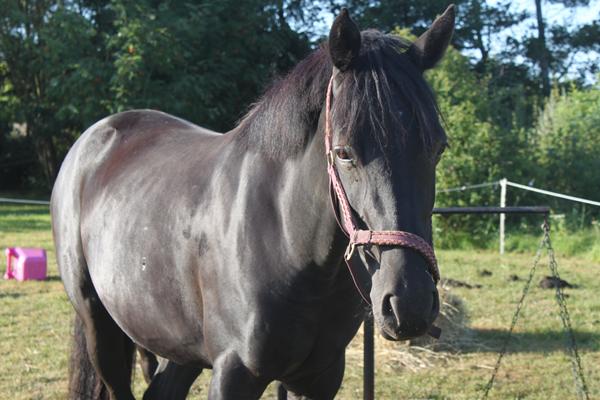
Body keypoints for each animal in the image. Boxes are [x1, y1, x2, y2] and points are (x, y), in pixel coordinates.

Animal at [51, 6, 454, 400]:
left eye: (438, 147)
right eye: (343, 152)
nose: (409, 303)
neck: (285, 240)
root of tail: (94, 137)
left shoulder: (319, 377)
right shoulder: (235, 372)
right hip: (100, 327)